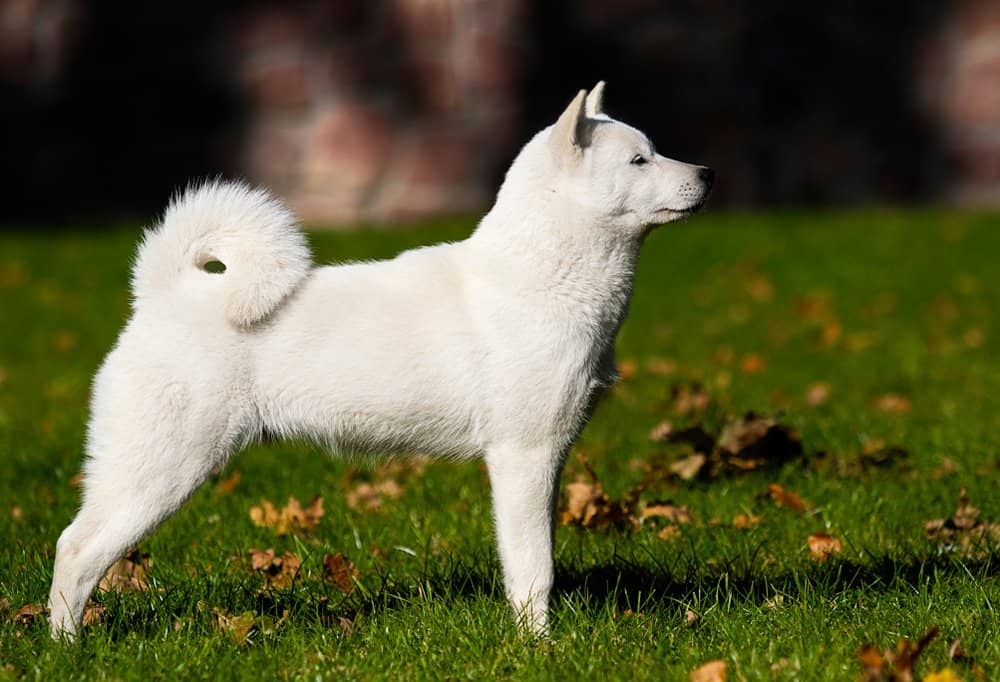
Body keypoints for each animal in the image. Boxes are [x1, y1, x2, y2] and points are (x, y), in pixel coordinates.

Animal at [50, 81, 716, 636]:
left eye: (654, 151)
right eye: (638, 160)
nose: (708, 174)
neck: (538, 277)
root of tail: (162, 293)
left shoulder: (546, 461)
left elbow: (532, 557)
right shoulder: (523, 457)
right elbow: (534, 569)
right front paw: (539, 644)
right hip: (161, 470)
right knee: (76, 551)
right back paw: (66, 647)